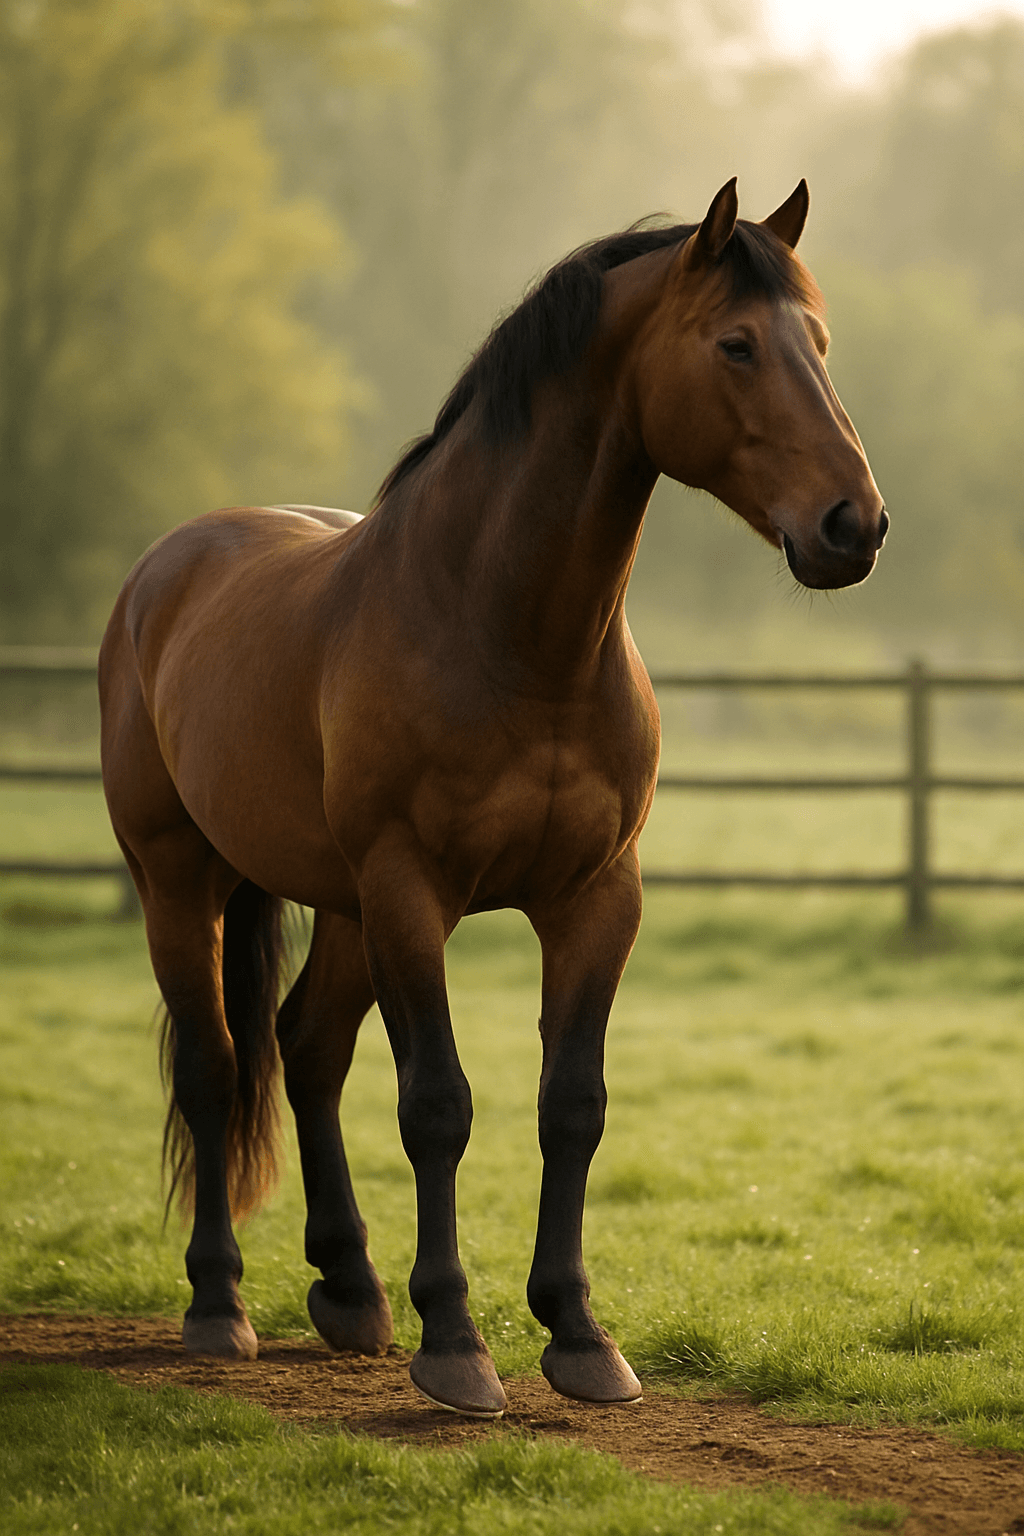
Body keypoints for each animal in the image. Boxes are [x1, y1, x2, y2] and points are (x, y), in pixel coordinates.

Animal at [99, 178, 886, 1418]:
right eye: (735, 344)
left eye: (817, 341)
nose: (853, 525)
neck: (506, 631)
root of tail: (165, 570)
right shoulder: (412, 892)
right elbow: (438, 1104)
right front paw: (457, 1344)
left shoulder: (595, 901)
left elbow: (573, 1104)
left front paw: (577, 1333)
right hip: (184, 881)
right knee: (219, 1068)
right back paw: (219, 1307)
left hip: (343, 910)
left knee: (306, 1051)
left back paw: (350, 1289)